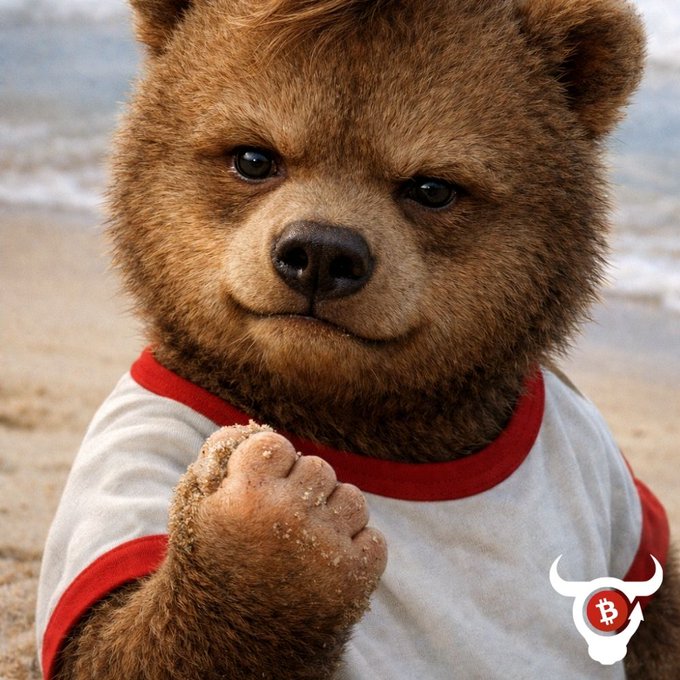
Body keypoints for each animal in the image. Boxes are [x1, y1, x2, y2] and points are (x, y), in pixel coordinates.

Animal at [36, 0, 680, 678]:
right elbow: (114, 650)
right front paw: (268, 528)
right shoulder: (129, 453)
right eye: (253, 158)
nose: (321, 251)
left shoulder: (613, 486)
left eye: (432, 187)